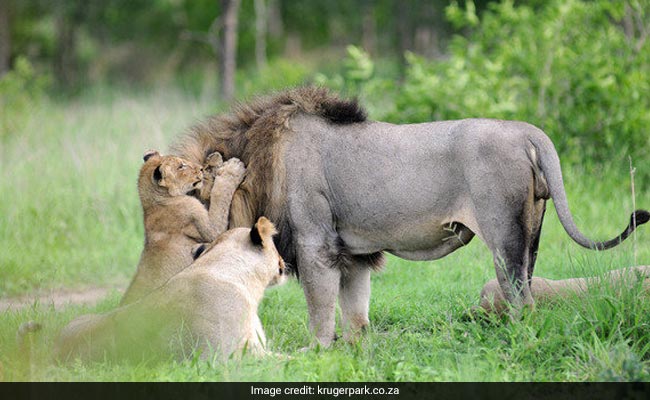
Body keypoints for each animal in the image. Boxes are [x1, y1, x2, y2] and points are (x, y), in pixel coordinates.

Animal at [120, 150, 245, 305]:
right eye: (181, 166)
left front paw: (215, 160)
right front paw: (233, 168)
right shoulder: (205, 224)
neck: (154, 202)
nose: (200, 168)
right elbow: (218, 195)